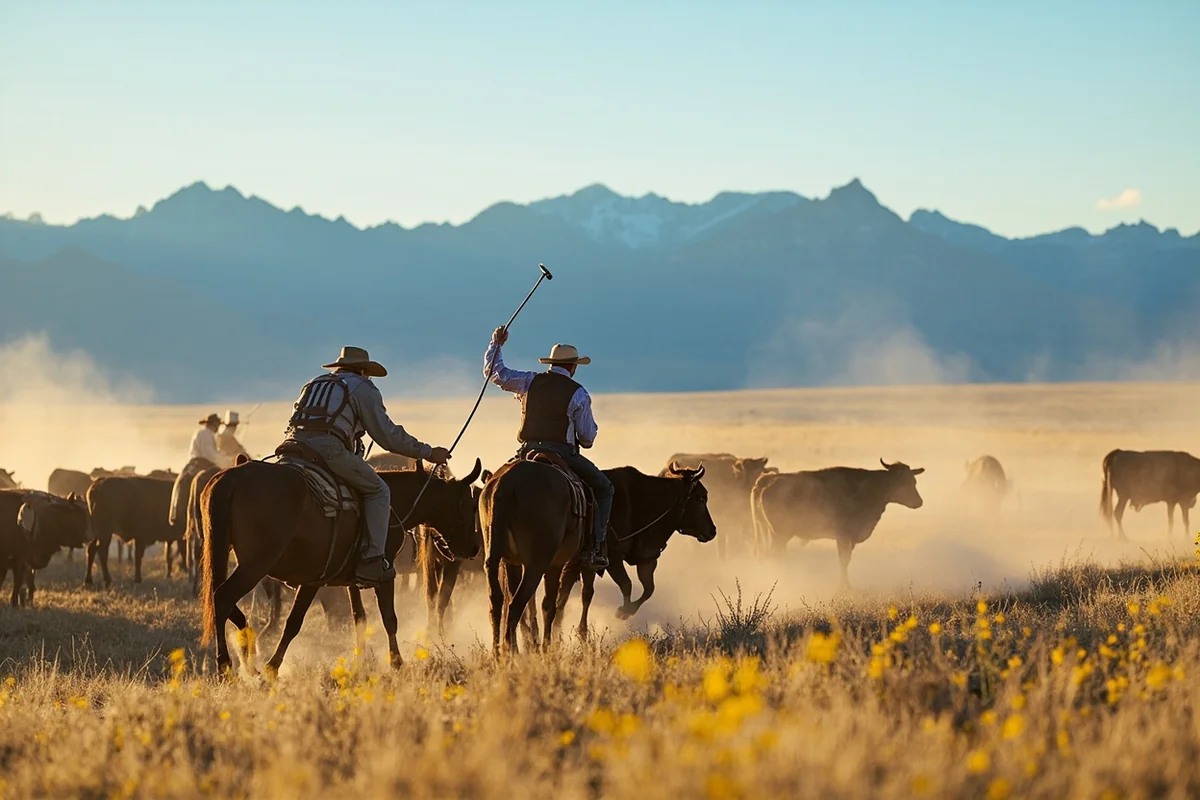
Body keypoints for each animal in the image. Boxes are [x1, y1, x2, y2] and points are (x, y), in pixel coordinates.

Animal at [751, 459, 925, 589]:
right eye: (902, 483)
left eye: (913, 481)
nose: (919, 502)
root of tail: (766, 480)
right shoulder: (843, 536)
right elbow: (844, 561)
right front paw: (845, 587)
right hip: (779, 535)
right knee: (774, 556)